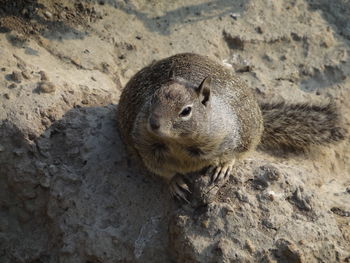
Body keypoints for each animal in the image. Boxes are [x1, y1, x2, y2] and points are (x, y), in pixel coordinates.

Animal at [117, 53, 344, 201]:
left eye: (186, 111)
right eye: (153, 98)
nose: (153, 124)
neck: (178, 141)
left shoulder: (231, 135)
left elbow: (232, 152)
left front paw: (223, 166)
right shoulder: (143, 143)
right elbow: (159, 167)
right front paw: (175, 182)